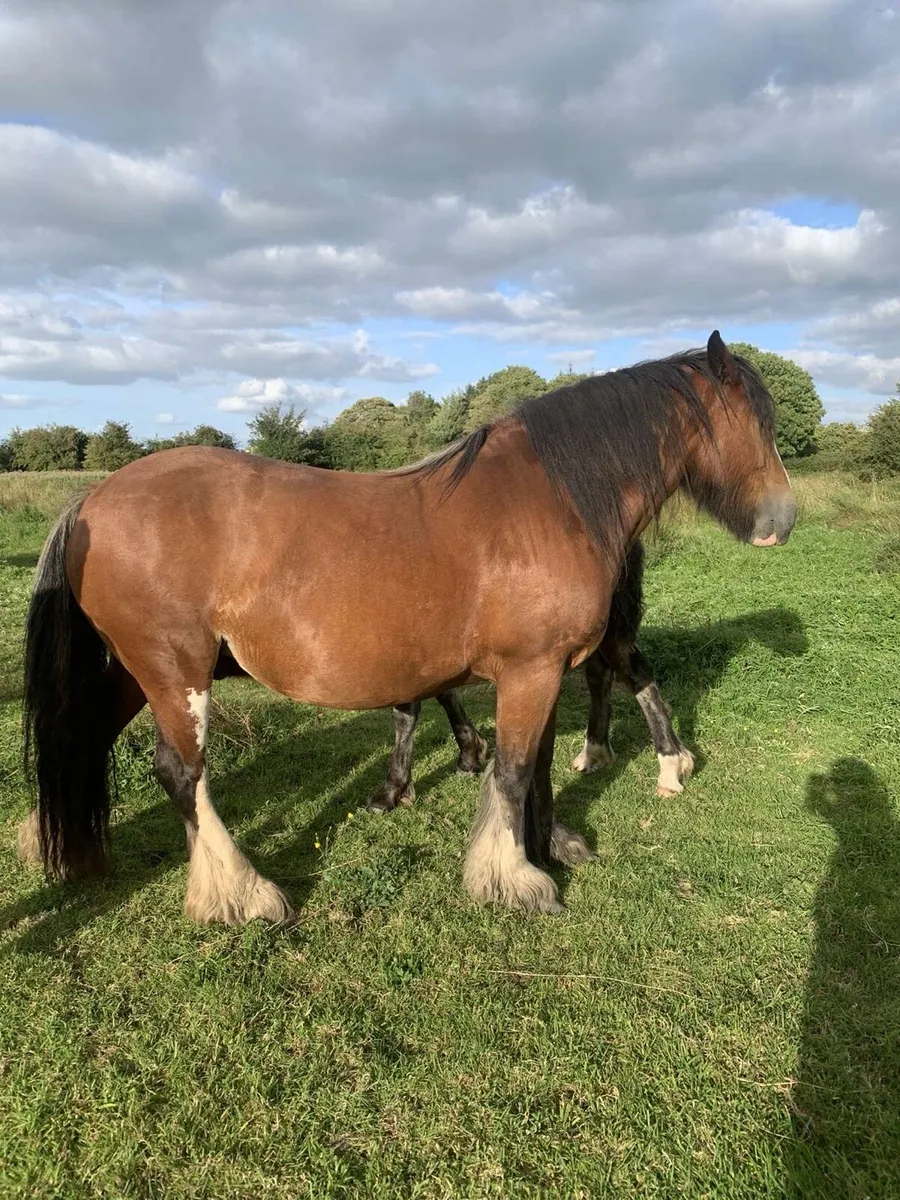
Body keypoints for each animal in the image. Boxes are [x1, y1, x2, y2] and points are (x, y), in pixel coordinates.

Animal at [366, 538, 694, 815]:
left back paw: (669, 767)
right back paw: (596, 753)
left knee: (636, 674)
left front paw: (392, 790)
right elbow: (438, 694)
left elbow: (408, 710)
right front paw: (469, 754)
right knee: (601, 676)